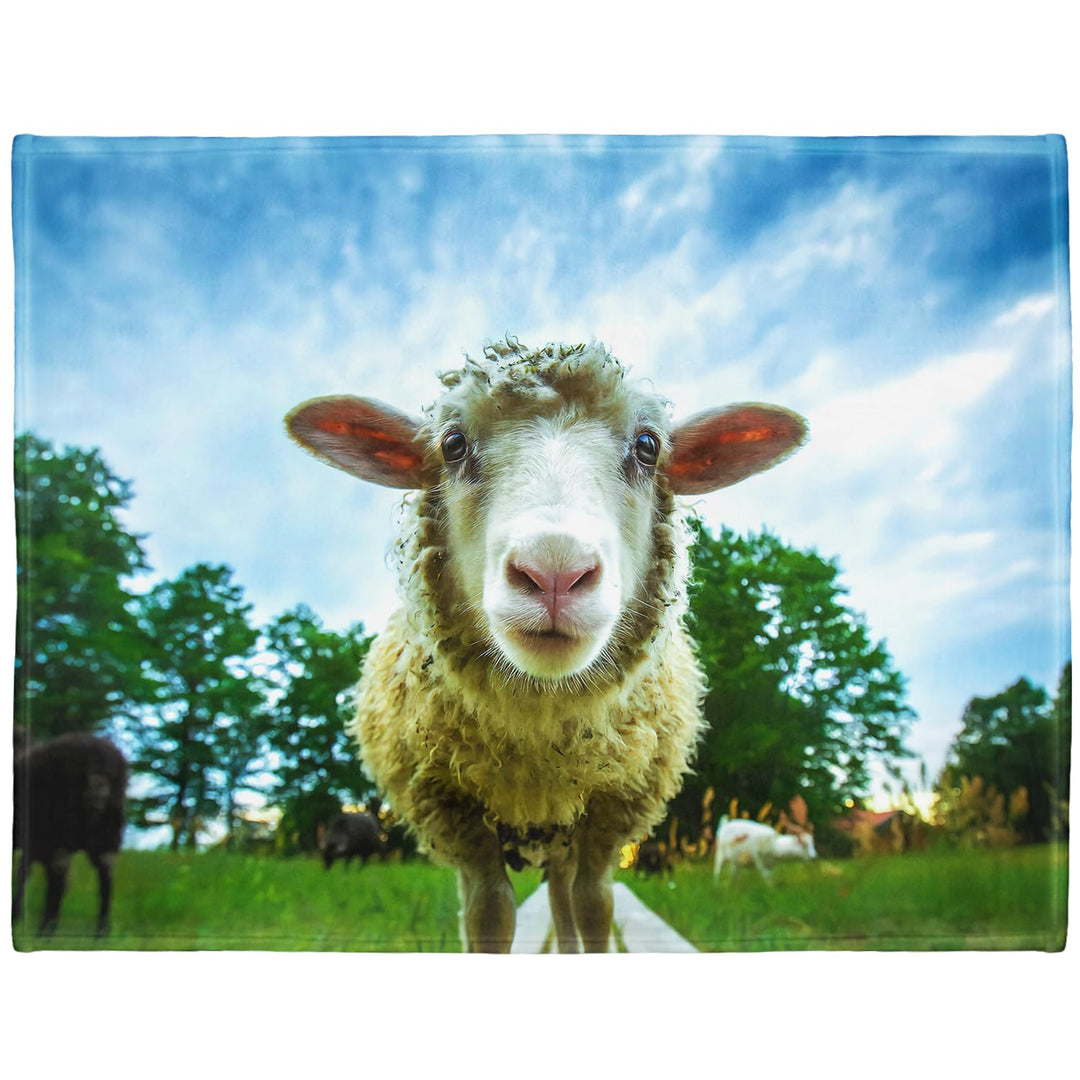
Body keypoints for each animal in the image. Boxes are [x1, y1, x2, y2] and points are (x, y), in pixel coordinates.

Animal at [13, 731, 128, 936]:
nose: (98, 787)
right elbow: (24, 872)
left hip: (60, 829)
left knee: (59, 870)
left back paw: (45, 932)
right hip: (107, 831)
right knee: (106, 871)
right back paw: (101, 933)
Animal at [286, 337, 806, 952]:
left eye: (648, 446)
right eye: (452, 444)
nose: (555, 572)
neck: (538, 737)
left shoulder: (611, 809)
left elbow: (594, 906)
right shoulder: (455, 811)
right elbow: (489, 915)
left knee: (566, 899)